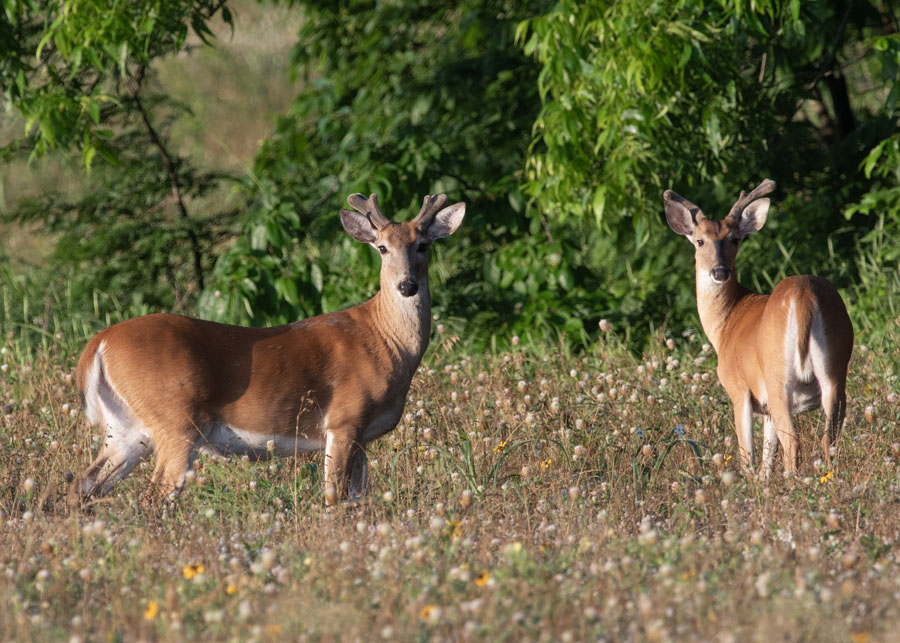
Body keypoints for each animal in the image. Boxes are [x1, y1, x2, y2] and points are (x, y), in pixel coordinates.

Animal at [77, 191, 464, 504]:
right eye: (382, 247)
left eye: (423, 245)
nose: (406, 285)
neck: (386, 341)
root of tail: (99, 342)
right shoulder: (345, 419)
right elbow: (335, 497)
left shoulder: (363, 438)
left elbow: (359, 498)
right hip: (175, 420)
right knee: (154, 494)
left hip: (125, 428)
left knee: (84, 483)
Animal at [664, 180, 856, 478]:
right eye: (700, 240)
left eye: (735, 239)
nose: (720, 272)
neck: (725, 324)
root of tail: (804, 295)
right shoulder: (765, 410)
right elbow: (767, 459)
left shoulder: (739, 388)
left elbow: (748, 457)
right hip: (835, 371)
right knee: (829, 439)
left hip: (777, 376)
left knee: (793, 441)